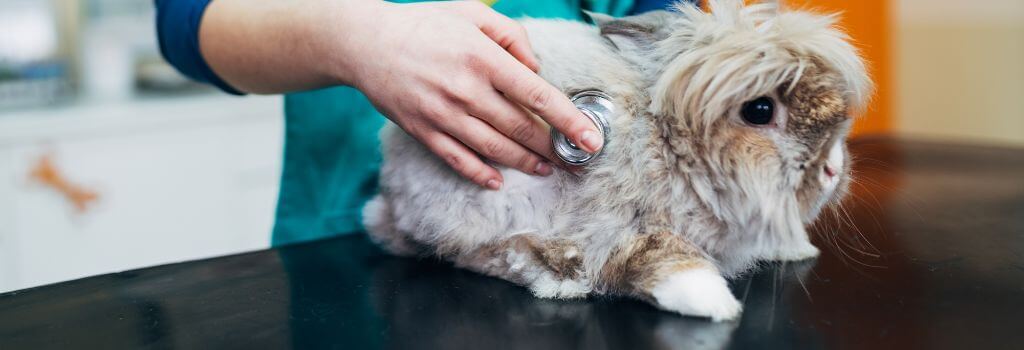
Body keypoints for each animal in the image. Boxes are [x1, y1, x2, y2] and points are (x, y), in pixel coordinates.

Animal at [364, 0, 868, 323]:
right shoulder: (615, 224)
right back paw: (561, 278)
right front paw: (713, 302)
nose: (833, 170)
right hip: (481, 201)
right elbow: (659, 254)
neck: (663, 140)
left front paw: (796, 248)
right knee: (483, 253)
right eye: (760, 110)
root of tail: (390, 193)